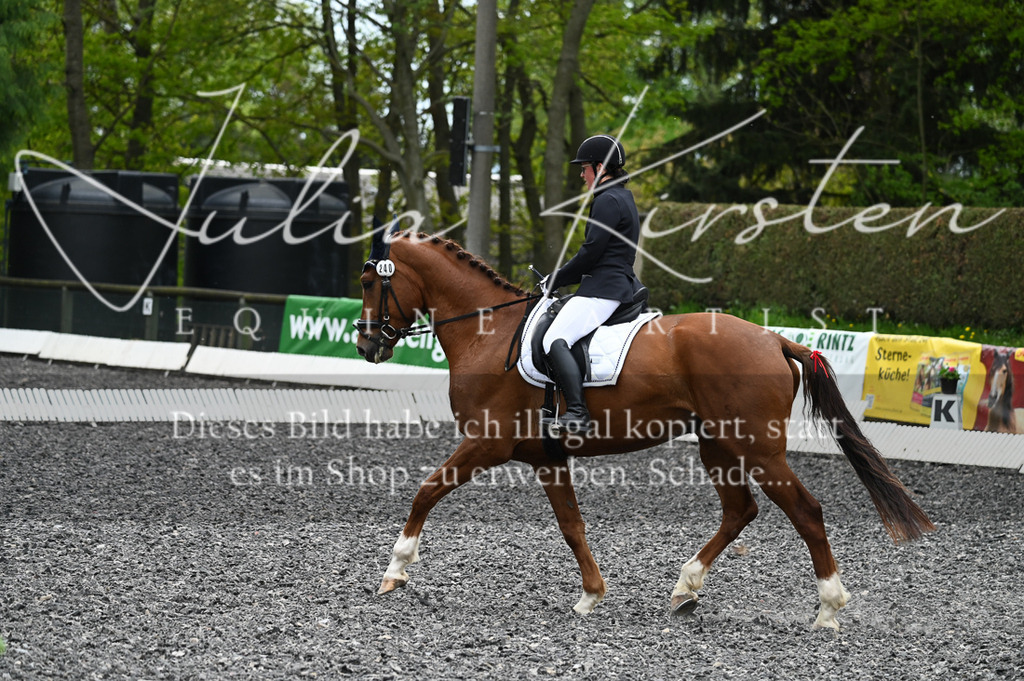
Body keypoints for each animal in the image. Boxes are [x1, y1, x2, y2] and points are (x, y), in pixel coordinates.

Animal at [354, 230, 935, 630]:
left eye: (368, 282)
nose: (365, 344)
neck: (489, 332)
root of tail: (774, 339)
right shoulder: (546, 456)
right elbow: (572, 525)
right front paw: (590, 595)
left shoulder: (486, 443)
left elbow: (425, 490)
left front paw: (394, 571)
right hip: (717, 445)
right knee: (740, 510)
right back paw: (685, 588)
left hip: (758, 449)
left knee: (806, 511)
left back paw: (828, 609)